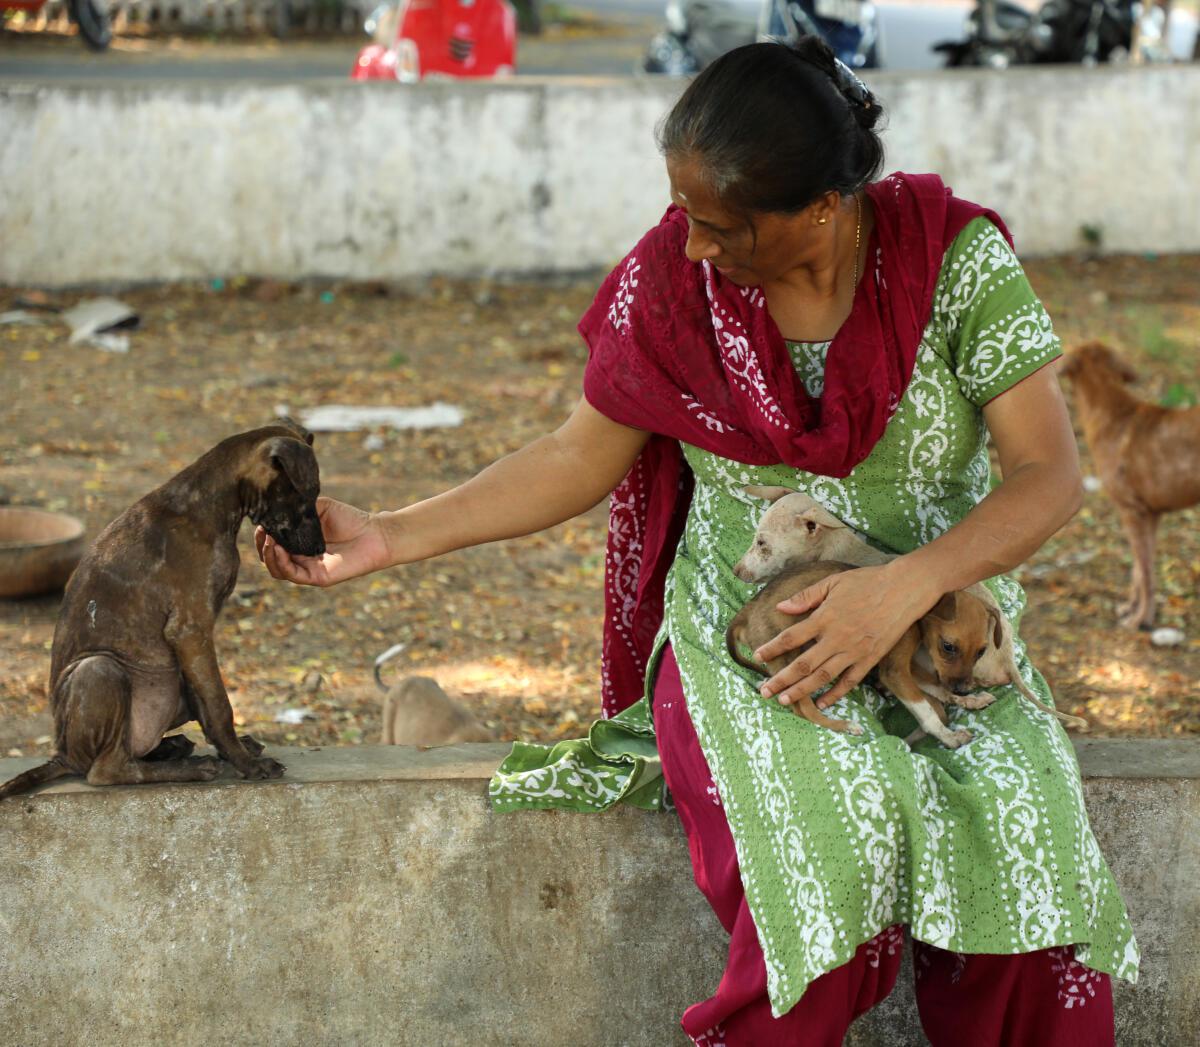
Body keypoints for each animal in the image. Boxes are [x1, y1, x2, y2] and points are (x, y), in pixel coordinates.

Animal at [0, 420, 324, 797]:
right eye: (307, 495)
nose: (321, 549)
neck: (209, 505)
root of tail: (62, 756)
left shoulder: (192, 639)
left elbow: (207, 704)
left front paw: (234, 751)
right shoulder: (190, 628)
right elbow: (219, 704)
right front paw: (247, 764)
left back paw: (172, 749)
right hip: (100, 669)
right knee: (108, 769)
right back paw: (189, 768)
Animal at [724, 559, 998, 749]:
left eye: (981, 651)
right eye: (948, 646)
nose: (963, 688)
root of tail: (747, 612)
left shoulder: (905, 669)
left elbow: (937, 688)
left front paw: (968, 700)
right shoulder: (895, 671)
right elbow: (928, 712)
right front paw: (949, 737)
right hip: (793, 658)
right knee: (804, 710)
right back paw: (842, 725)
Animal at [1060, 340, 1200, 629]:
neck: (1112, 412)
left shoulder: (1131, 510)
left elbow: (1144, 572)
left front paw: (1141, 620)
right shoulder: (1150, 513)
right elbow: (1139, 569)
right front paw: (1130, 610)